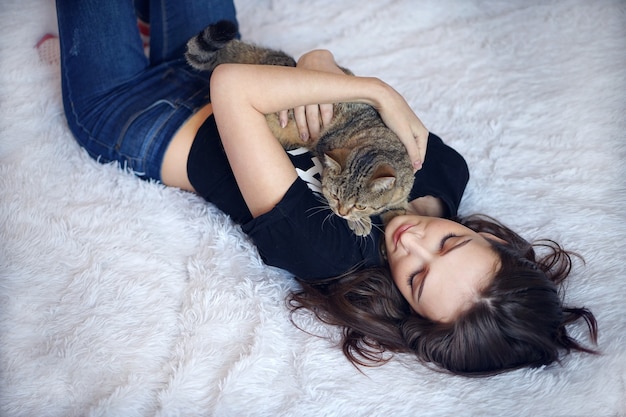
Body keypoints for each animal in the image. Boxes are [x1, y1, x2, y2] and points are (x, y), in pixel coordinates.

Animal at [184, 21, 414, 236]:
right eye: (335, 196)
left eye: (360, 205)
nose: (342, 212)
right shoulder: (323, 146)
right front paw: (359, 222)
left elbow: (399, 209)